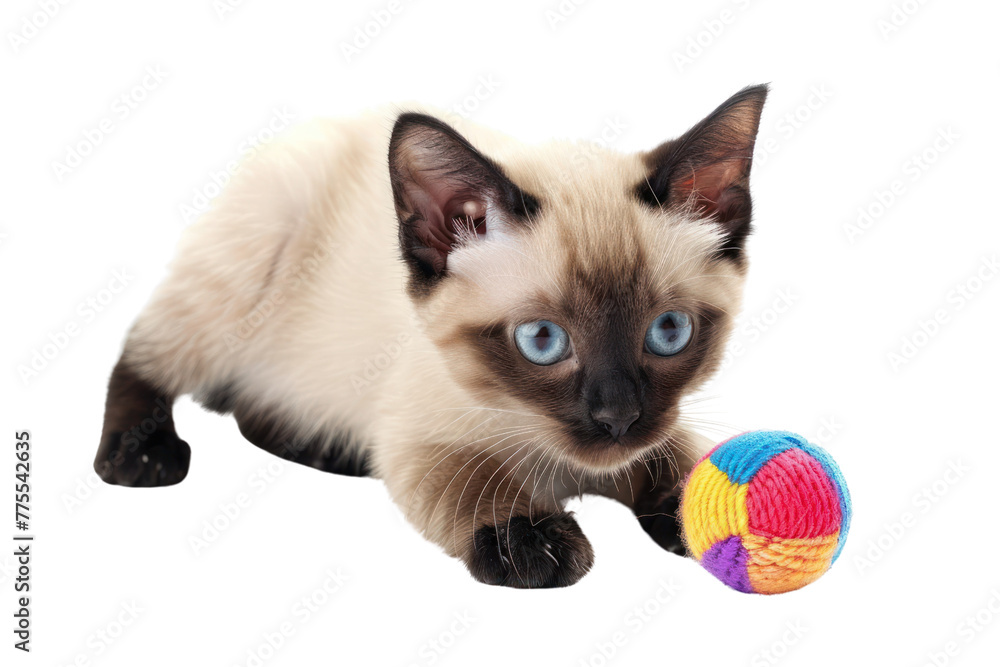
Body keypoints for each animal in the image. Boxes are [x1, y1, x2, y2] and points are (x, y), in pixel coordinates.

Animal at [95, 85, 764, 588]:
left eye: (669, 332)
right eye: (542, 340)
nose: (616, 417)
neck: (564, 464)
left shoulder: (655, 435)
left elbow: (682, 457)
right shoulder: (414, 436)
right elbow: (469, 479)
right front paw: (533, 542)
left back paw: (327, 449)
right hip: (249, 257)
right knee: (143, 357)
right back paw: (142, 456)